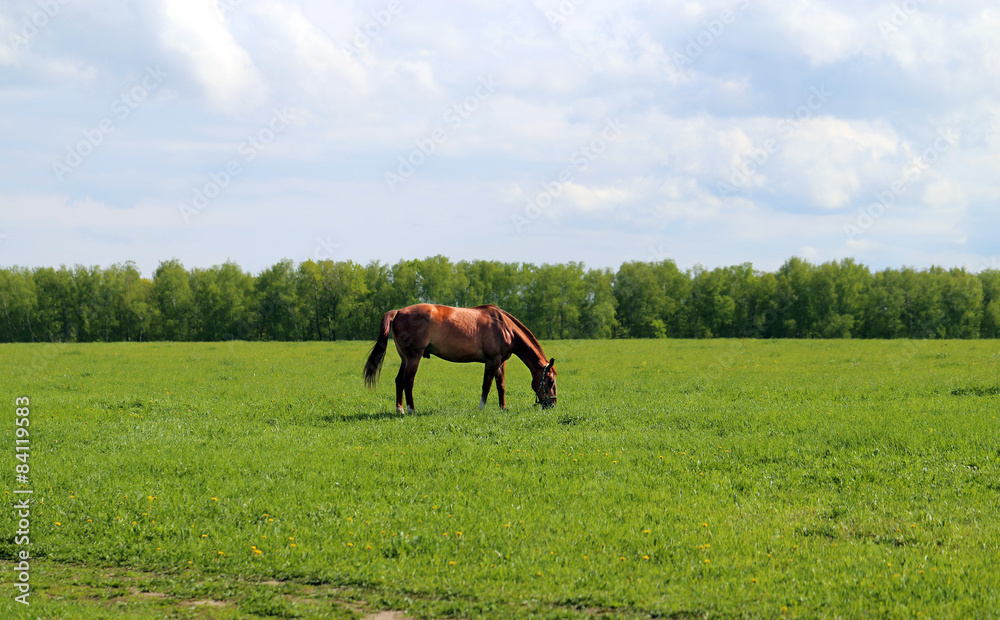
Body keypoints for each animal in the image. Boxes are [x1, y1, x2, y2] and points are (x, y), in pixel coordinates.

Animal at [363, 304, 557, 414]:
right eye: (550, 381)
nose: (552, 404)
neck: (504, 326)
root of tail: (398, 312)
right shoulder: (492, 361)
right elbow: (486, 386)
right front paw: (481, 408)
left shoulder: (501, 362)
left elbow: (500, 386)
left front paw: (503, 408)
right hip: (413, 358)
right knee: (407, 382)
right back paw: (411, 410)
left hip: (404, 358)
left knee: (398, 381)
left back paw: (400, 409)